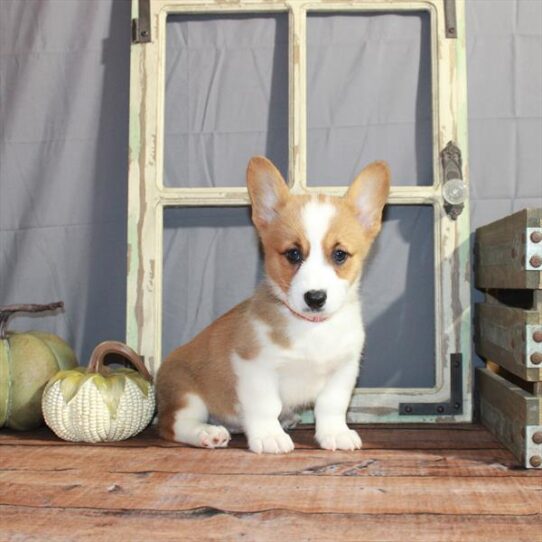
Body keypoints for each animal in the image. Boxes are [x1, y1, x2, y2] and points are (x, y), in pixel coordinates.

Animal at [157, 157, 392, 454]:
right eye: (293, 254)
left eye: (340, 255)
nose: (315, 297)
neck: (312, 329)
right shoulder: (255, 367)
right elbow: (265, 406)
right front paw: (269, 436)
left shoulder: (344, 370)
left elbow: (332, 406)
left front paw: (335, 433)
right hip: (187, 395)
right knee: (172, 425)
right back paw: (208, 433)